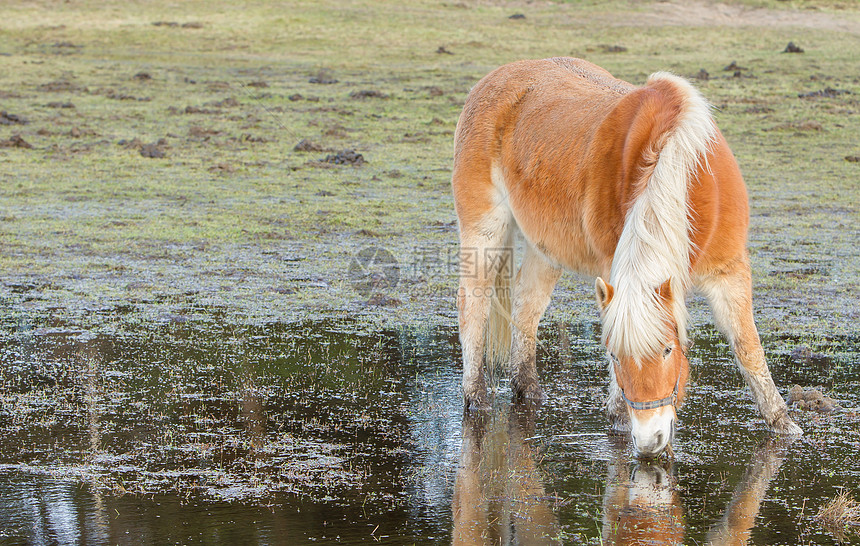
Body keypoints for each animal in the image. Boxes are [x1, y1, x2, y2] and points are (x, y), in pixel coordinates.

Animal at [454, 58, 804, 454]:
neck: (682, 169)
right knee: (473, 304)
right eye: (614, 355)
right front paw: (620, 420)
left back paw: (529, 391)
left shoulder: (729, 271)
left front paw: (784, 425)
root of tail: (498, 77)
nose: (651, 440)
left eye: (668, 350)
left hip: (545, 248)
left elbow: (748, 348)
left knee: (526, 308)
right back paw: (476, 398)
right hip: (483, 229)